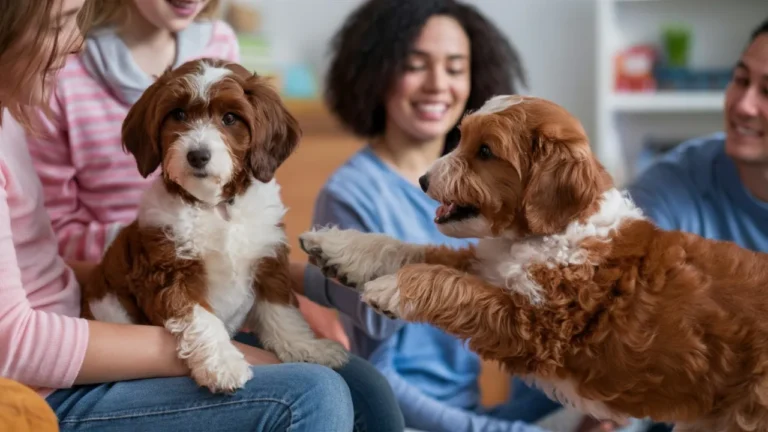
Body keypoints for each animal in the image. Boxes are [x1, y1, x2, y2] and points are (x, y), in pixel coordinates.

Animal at [80, 56, 348, 392]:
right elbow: (201, 319)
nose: (197, 155)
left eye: (230, 118)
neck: (216, 206)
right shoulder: (169, 273)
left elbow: (282, 311)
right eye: (178, 114)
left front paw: (307, 347)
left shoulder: (268, 260)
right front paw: (223, 364)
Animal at [298, 95, 768, 432]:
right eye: (462, 138)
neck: (553, 232)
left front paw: (393, 288)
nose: (423, 180)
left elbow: (445, 280)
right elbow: (414, 250)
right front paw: (337, 247)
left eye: (486, 151)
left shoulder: (536, 325)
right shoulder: (486, 266)